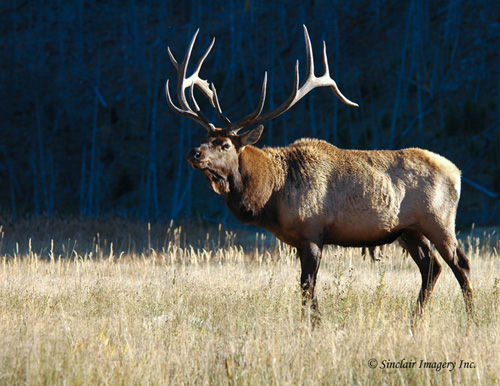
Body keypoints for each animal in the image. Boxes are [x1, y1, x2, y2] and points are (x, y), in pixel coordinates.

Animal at [164, 24, 472, 320]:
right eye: (205, 137)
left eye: (226, 144)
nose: (194, 153)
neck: (272, 194)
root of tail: (457, 173)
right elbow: (305, 288)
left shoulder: (312, 231)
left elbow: (307, 287)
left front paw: (314, 324)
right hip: (409, 230)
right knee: (431, 267)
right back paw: (415, 319)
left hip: (439, 220)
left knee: (460, 264)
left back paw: (471, 317)